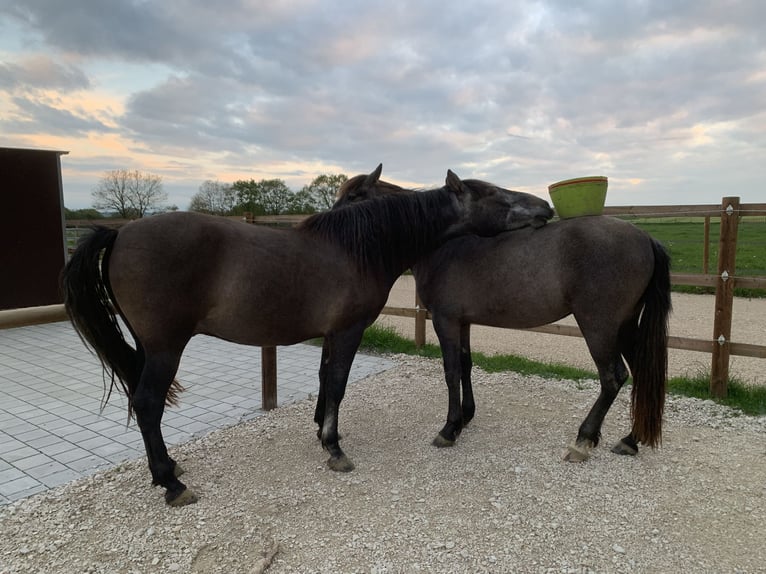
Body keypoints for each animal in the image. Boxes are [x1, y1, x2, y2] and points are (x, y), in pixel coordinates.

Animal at [60, 164, 552, 506]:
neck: (357, 248)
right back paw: (171, 482)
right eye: (495, 195)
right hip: (165, 347)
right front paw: (334, 448)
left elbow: (325, 382)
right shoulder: (349, 331)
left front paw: (322, 432)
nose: (545, 208)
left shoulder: (330, 334)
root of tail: (121, 233)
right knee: (147, 403)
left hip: (148, 346)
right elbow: (337, 384)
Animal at [336, 180, 672, 464]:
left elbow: (451, 371)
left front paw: (449, 429)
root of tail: (645, 238)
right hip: (625, 326)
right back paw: (631, 439)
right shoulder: (463, 322)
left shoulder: (445, 321)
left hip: (599, 327)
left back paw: (583, 440)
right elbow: (466, 364)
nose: (328, 223)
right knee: (642, 374)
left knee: (613, 378)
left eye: (353, 196)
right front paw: (465, 418)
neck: (443, 247)